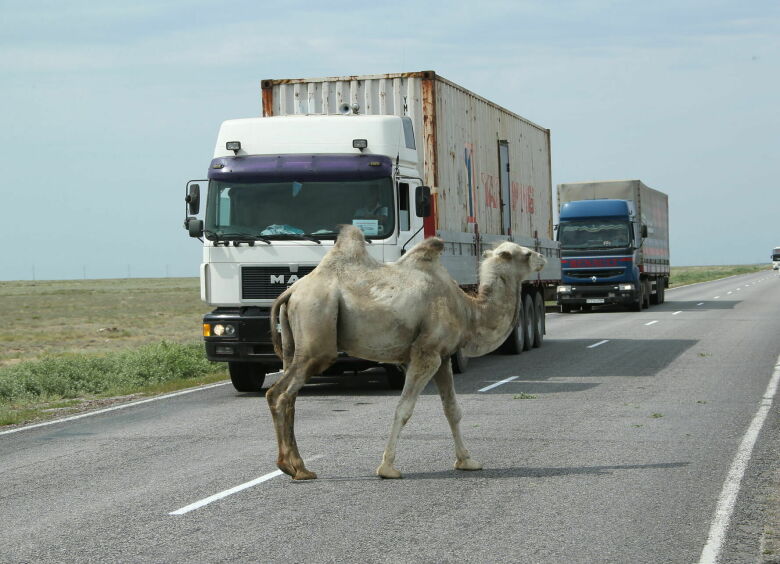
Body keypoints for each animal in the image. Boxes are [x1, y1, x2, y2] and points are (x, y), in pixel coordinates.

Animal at [268, 225, 548, 480]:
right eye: (525, 253)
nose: (543, 257)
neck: (467, 310)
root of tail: (291, 292)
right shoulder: (426, 353)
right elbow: (404, 409)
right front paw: (387, 468)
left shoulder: (443, 357)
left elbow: (452, 409)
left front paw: (467, 461)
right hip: (317, 329)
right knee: (280, 394)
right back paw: (295, 468)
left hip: (296, 343)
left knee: (286, 396)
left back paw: (296, 466)